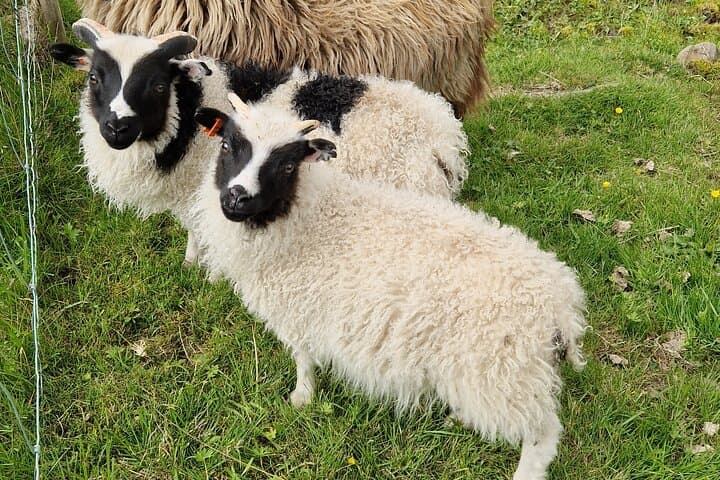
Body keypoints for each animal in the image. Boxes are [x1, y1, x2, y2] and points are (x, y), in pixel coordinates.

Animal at [50, 18, 467, 266]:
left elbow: (196, 229)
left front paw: (196, 265)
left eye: (156, 85)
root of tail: (444, 136)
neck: (191, 110)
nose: (116, 128)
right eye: (94, 78)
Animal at [191, 94, 588, 480]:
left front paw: (302, 396)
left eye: (288, 165)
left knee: (542, 437)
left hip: (504, 373)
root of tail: (559, 305)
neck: (313, 217)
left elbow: (302, 357)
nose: (236, 198)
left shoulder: (299, 309)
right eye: (227, 145)